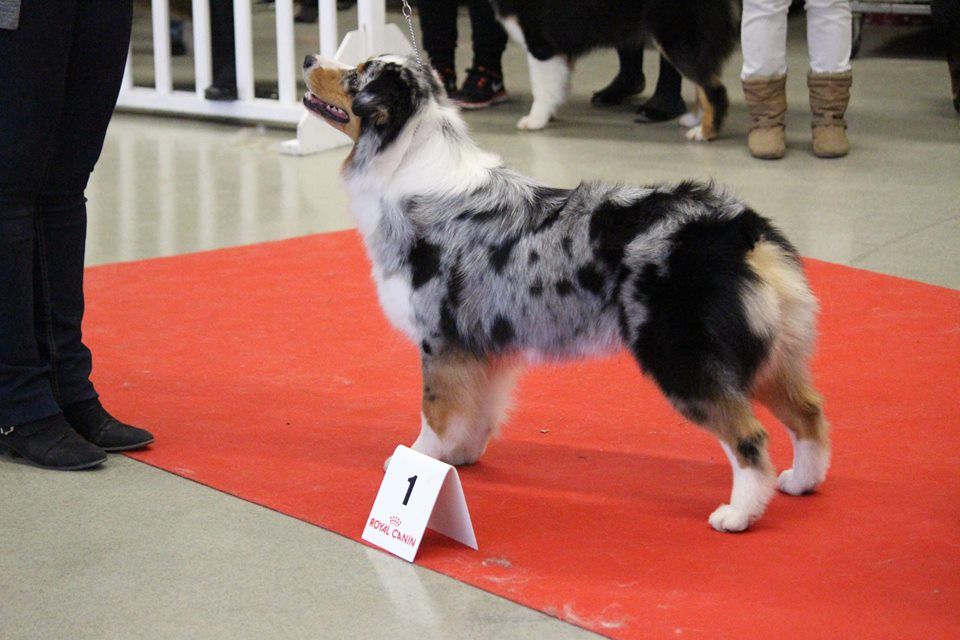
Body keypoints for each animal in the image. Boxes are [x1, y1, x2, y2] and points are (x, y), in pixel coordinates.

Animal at [488, 0, 736, 140]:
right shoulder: (561, 50)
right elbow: (558, 86)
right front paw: (549, 114)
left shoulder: (542, 45)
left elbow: (541, 88)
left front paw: (535, 120)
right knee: (703, 84)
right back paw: (695, 120)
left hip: (677, 41)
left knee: (715, 89)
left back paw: (705, 133)